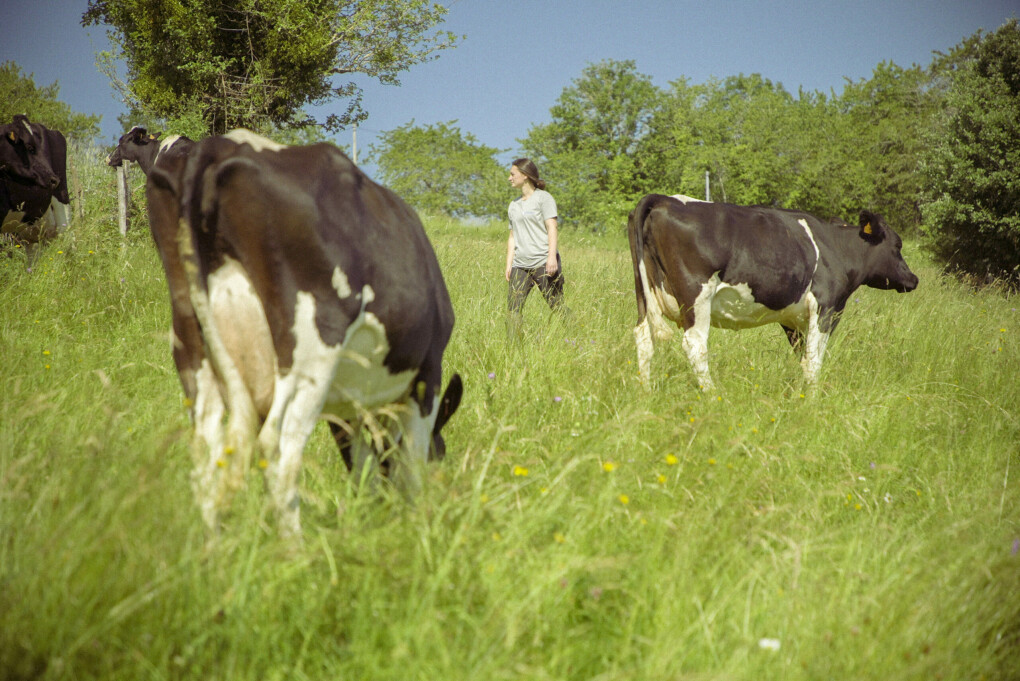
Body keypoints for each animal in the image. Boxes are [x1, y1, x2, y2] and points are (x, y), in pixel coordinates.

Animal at [143, 130, 463, 538]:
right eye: (442, 453)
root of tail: (218, 144)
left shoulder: (348, 403)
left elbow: (362, 466)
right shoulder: (428, 375)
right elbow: (410, 467)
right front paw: (416, 526)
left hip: (192, 346)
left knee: (206, 451)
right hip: (311, 350)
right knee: (278, 447)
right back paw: (295, 547)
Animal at [624, 193, 922, 391]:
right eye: (897, 245)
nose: (913, 279)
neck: (836, 248)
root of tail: (665, 199)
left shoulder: (793, 319)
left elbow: (803, 358)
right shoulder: (827, 308)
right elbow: (814, 361)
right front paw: (813, 399)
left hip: (643, 293)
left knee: (643, 337)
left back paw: (646, 392)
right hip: (695, 298)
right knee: (695, 344)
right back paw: (711, 395)